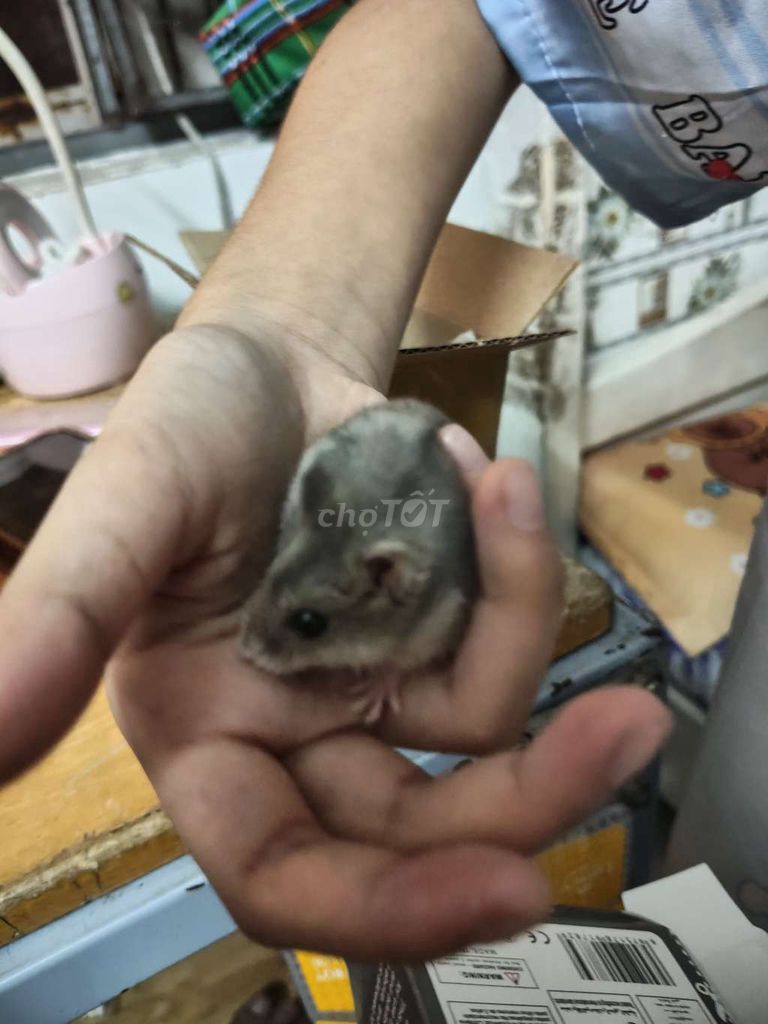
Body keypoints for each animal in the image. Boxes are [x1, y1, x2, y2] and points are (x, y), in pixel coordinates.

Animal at [239, 399, 479, 723]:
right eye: (269, 575)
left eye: (308, 623)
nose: (245, 651)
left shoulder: (437, 626)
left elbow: (397, 665)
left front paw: (371, 699)